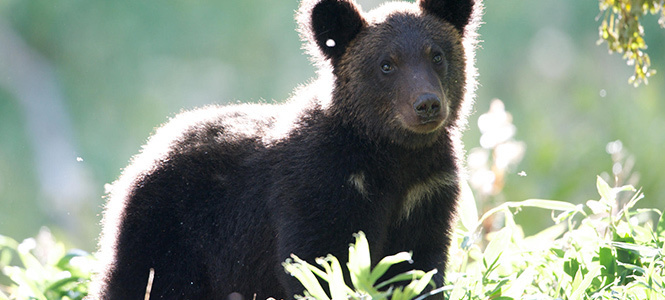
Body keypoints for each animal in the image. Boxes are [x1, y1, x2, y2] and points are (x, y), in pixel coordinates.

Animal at [92, 0, 478, 298]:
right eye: (387, 64)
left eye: (437, 55)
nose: (427, 104)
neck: (391, 154)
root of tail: (146, 154)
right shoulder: (320, 186)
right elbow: (318, 262)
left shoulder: (427, 191)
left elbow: (419, 265)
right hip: (169, 233)